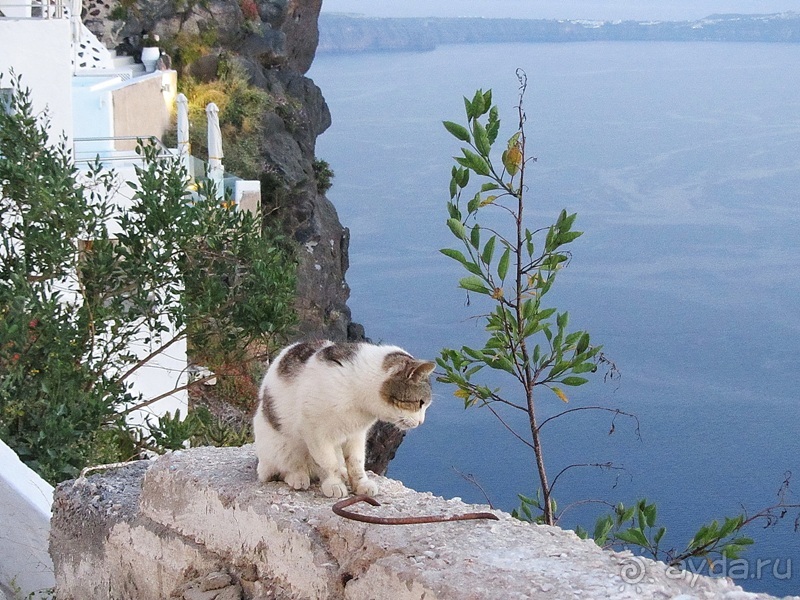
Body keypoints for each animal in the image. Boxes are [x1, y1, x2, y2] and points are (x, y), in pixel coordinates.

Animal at [253, 340, 434, 500]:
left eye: (425, 404)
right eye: (420, 403)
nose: (421, 422)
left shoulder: (357, 433)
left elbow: (356, 462)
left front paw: (361, 484)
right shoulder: (315, 432)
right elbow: (327, 462)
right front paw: (334, 484)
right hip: (281, 446)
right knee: (283, 469)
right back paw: (298, 477)